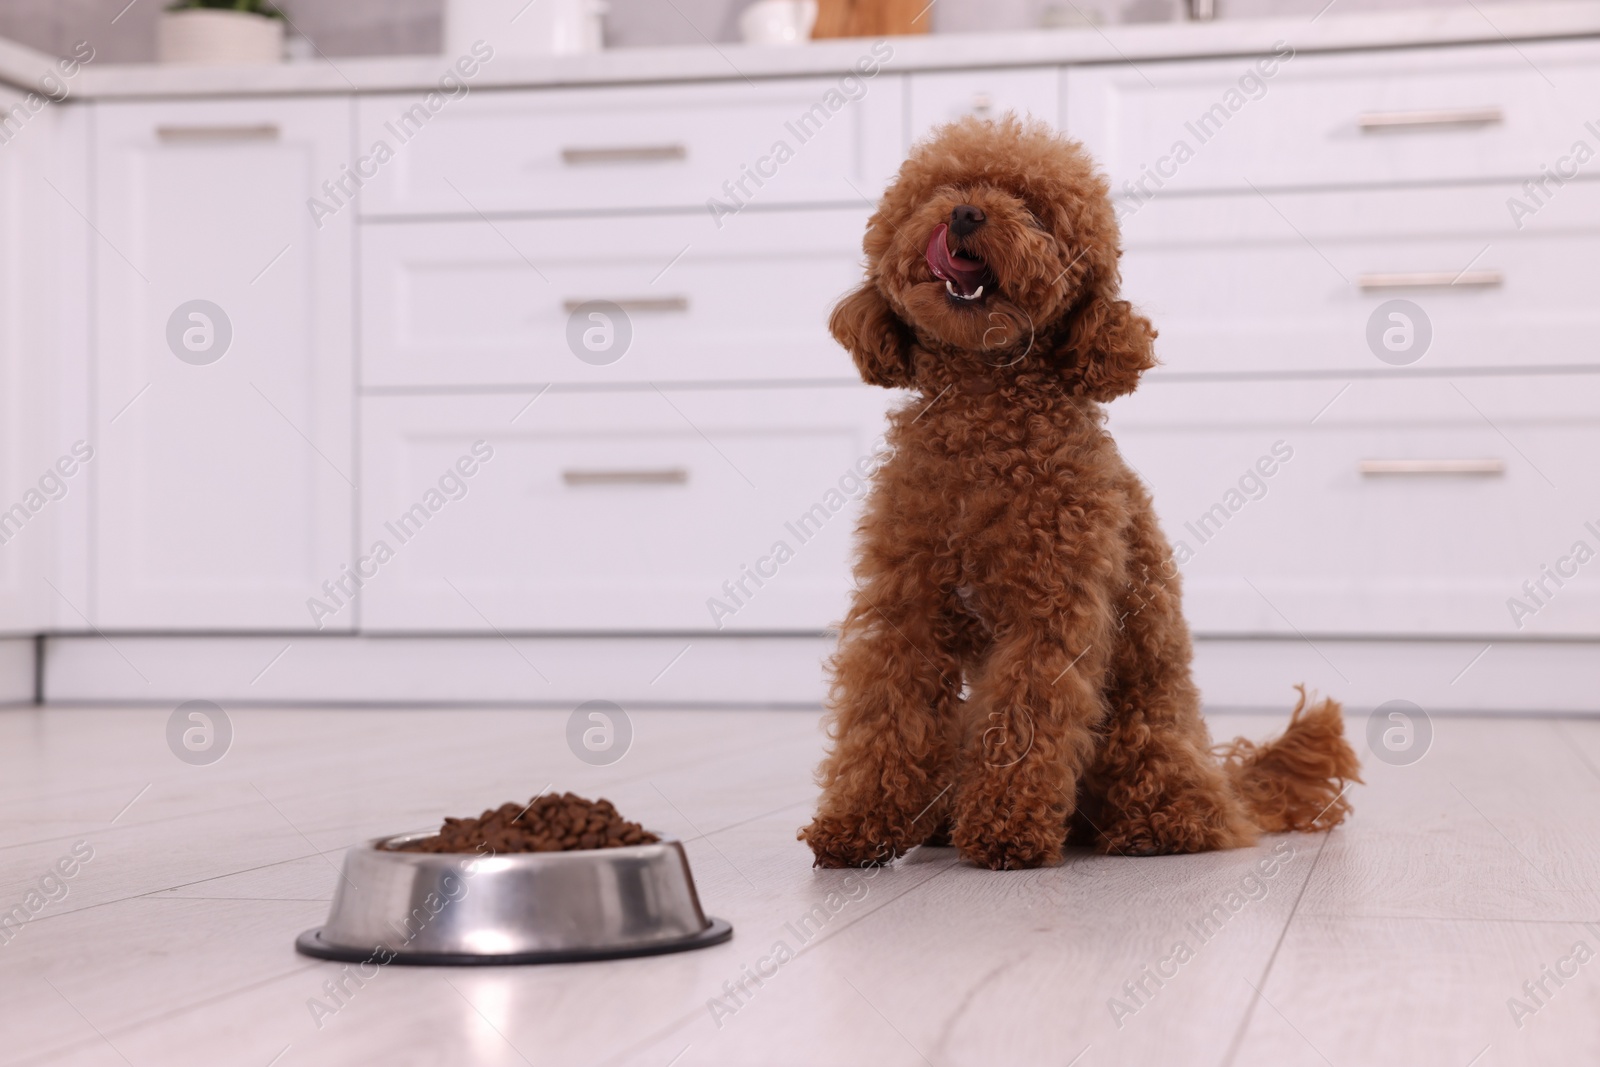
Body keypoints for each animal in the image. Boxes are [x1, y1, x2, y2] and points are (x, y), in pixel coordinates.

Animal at [793, 116, 1356, 870]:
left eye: (1036, 214)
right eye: (945, 187)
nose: (965, 213)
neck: (983, 417)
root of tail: (1227, 784)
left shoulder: (1052, 609)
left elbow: (1027, 717)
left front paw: (1006, 829)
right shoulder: (906, 603)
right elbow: (886, 712)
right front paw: (859, 824)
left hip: (1140, 735)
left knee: (1181, 810)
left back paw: (1147, 830)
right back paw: (941, 819)